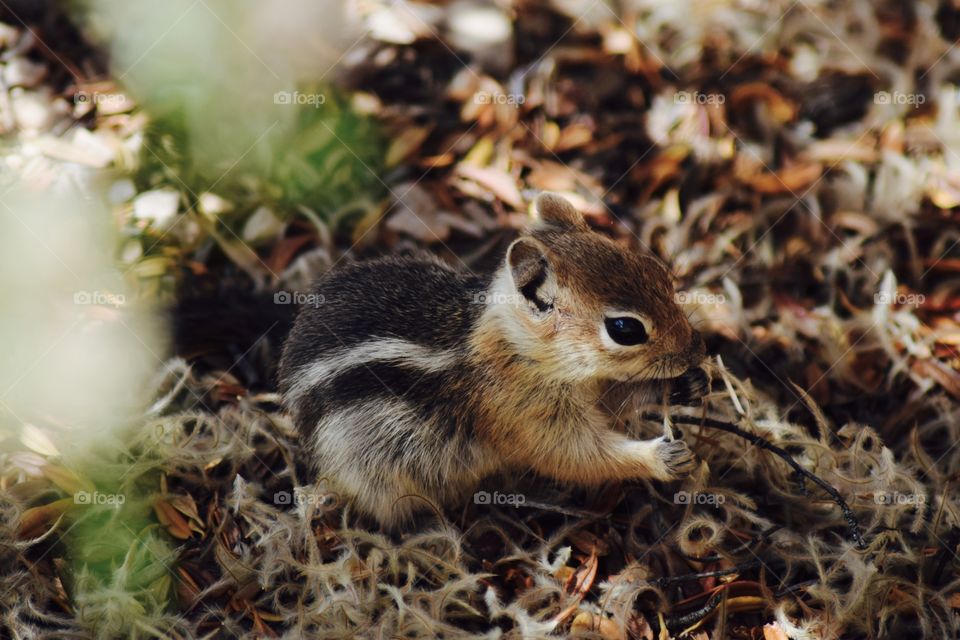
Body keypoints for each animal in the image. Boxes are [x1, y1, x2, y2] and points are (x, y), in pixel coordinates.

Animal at [278, 193, 707, 528]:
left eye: (656, 271)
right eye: (625, 329)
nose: (696, 350)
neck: (521, 347)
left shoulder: (588, 388)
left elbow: (613, 402)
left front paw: (685, 384)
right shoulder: (520, 413)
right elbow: (575, 456)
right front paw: (659, 457)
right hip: (375, 473)